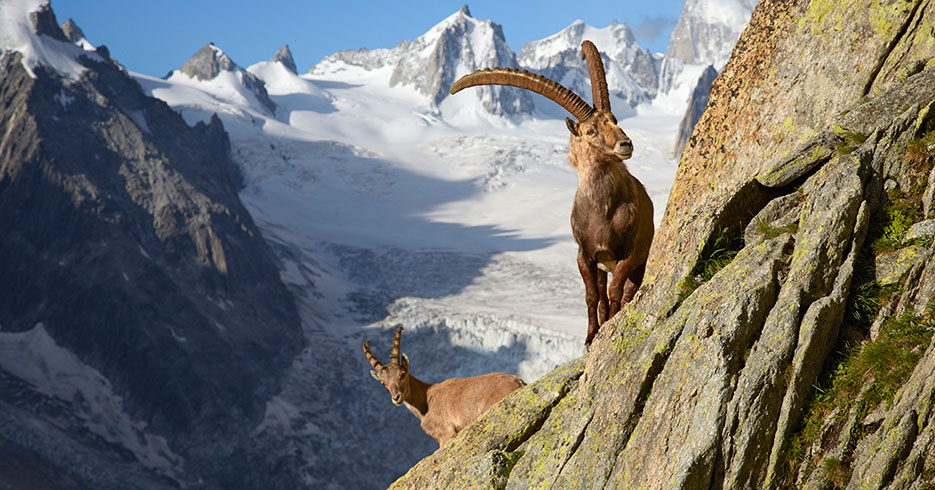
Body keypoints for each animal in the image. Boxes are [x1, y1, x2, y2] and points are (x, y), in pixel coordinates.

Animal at [363, 326, 525, 447]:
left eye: (402, 374)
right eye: (383, 383)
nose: (396, 397)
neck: (426, 399)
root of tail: (519, 382)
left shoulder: (446, 433)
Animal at [450, 40, 654, 346]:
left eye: (614, 119)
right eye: (590, 130)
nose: (625, 144)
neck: (602, 212)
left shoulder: (627, 253)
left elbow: (616, 291)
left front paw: (609, 326)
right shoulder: (585, 255)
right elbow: (592, 295)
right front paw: (590, 336)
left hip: (639, 259)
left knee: (627, 292)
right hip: (602, 265)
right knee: (602, 295)